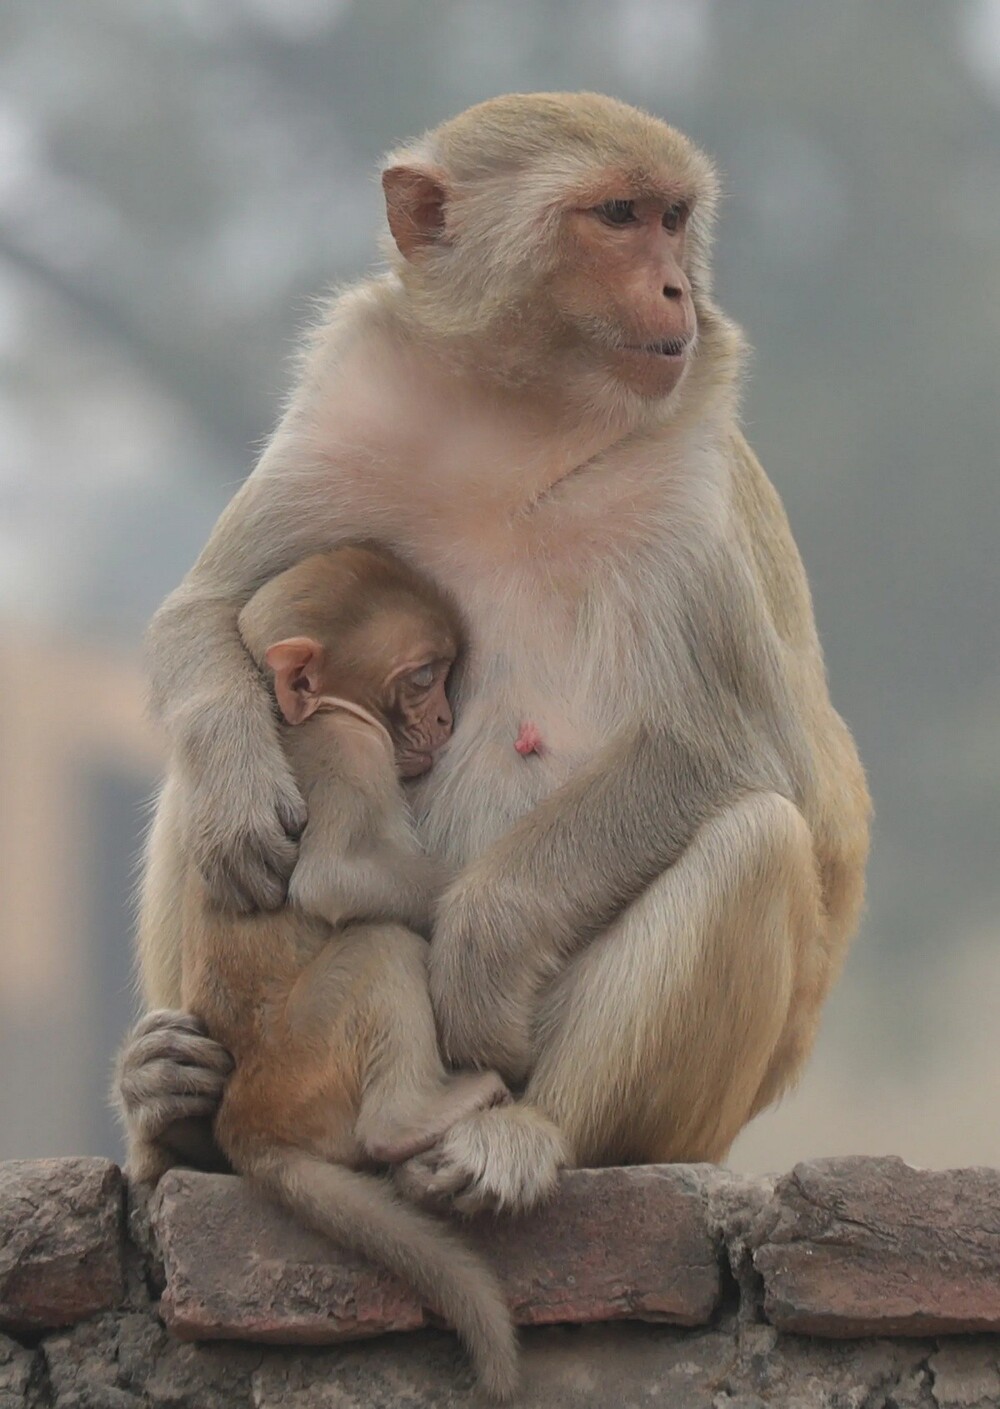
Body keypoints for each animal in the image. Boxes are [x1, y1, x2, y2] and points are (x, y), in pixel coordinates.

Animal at [115, 93, 867, 1211]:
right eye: (618, 216)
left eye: (674, 217)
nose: (675, 286)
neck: (523, 416)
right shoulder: (354, 396)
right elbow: (203, 616)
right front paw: (241, 788)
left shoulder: (690, 486)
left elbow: (734, 747)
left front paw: (479, 937)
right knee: (214, 756)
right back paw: (174, 1106)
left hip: (647, 1110)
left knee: (754, 841)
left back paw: (522, 1134)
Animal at [181, 546, 521, 1397]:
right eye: (423, 675)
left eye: (448, 673)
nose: (446, 720)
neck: (302, 714)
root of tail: (246, 1118)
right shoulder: (347, 746)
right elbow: (338, 879)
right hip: (308, 1054)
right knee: (382, 946)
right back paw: (412, 1116)